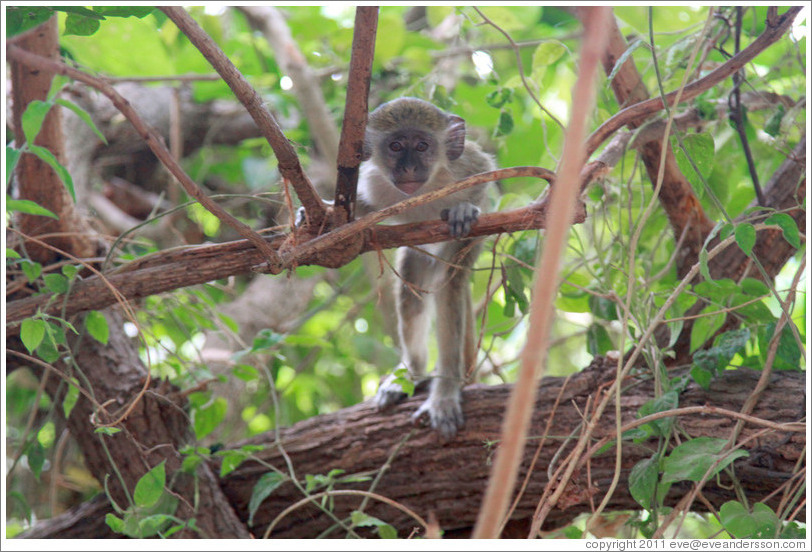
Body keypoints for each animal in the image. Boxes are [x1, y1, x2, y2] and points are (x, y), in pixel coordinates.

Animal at [360, 97, 498, 438]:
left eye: (422, 146)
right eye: (396, 146)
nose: (409, 167)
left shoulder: (466, 166)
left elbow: (486, 175)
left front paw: (464, 209)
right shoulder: (373, 183)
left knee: (450, 288)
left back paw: (445, 390)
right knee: (414, 284)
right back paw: (414, 371)